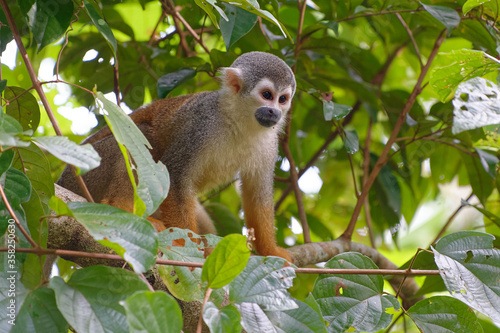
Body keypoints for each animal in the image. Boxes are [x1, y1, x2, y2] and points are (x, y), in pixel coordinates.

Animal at [57, 50, 294, 260]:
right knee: (139, 137)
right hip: (88, 172)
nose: (274, 112)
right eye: (267, 95)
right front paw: (189, 248)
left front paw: (270, 250)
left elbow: (257, 195)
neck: (238, 120)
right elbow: (174, 178)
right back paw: (120, 206)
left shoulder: (269, 144)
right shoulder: (198, 126)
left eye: (282, 99)